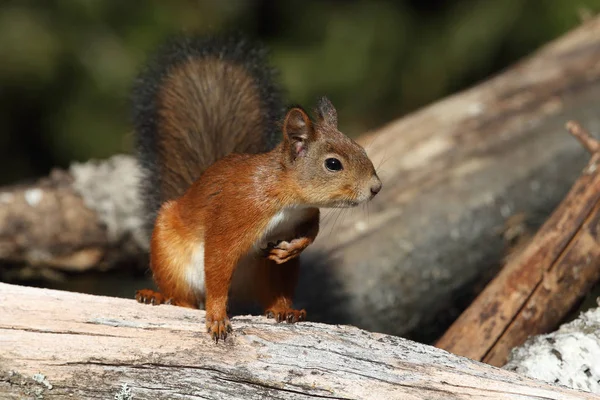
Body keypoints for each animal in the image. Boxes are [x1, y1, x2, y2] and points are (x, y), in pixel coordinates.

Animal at [133, 33, 382, 344]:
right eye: (333, 164)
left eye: (361, 148)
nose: (376, 187)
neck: (286, 199)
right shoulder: (237, 214)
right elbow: (218, 264)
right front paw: (217, 318)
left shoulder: (306, 212)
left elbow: (312, 232)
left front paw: (292, 247)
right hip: (169, 256)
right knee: (182, 298)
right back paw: (157, 296)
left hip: (271, 274)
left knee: (270, 297)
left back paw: (284, 309)